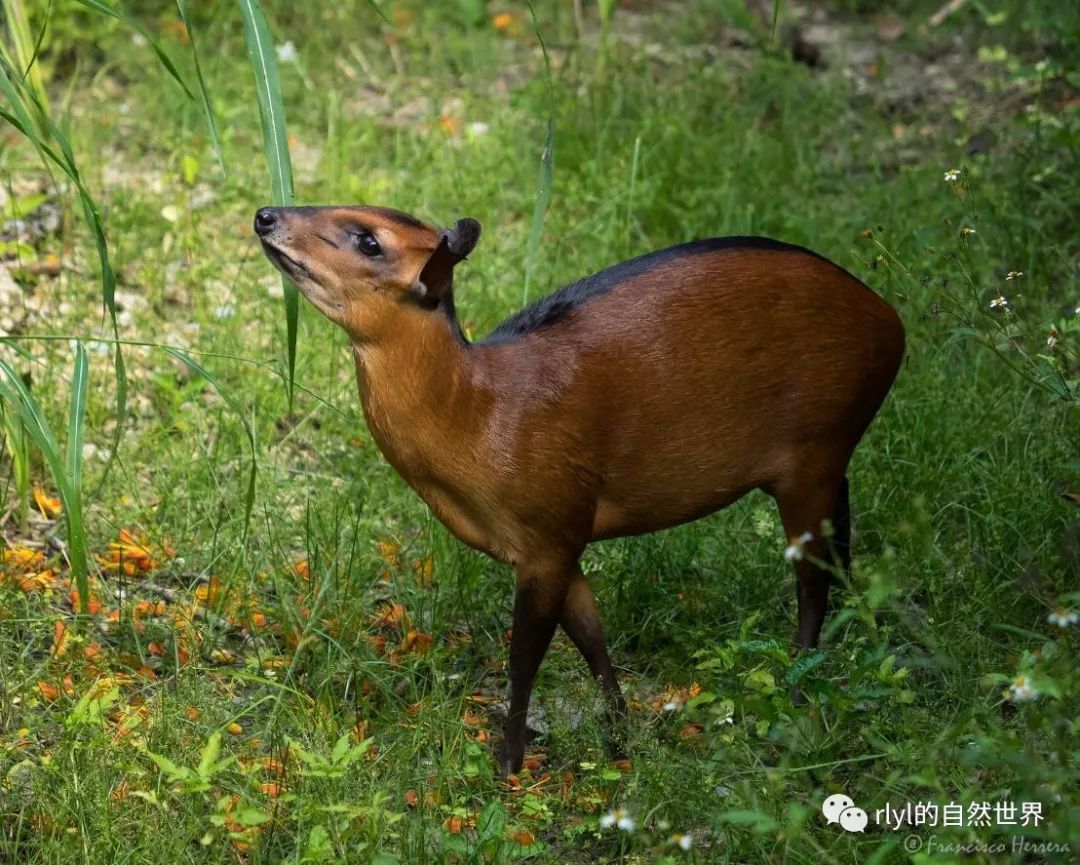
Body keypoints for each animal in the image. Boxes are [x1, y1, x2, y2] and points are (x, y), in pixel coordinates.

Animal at [252, 204, 902, 777]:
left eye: (369, 241)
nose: (265, 215)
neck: (480, 413)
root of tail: (893, 325)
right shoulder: (557, 539)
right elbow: (591, 637)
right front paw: (620, 741)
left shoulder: (550, 531)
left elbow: (525, 657)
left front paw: (508, 767)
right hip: (829, 463)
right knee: (844, 549)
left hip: (813, 454)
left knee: (813, 582)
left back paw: (797, 696)